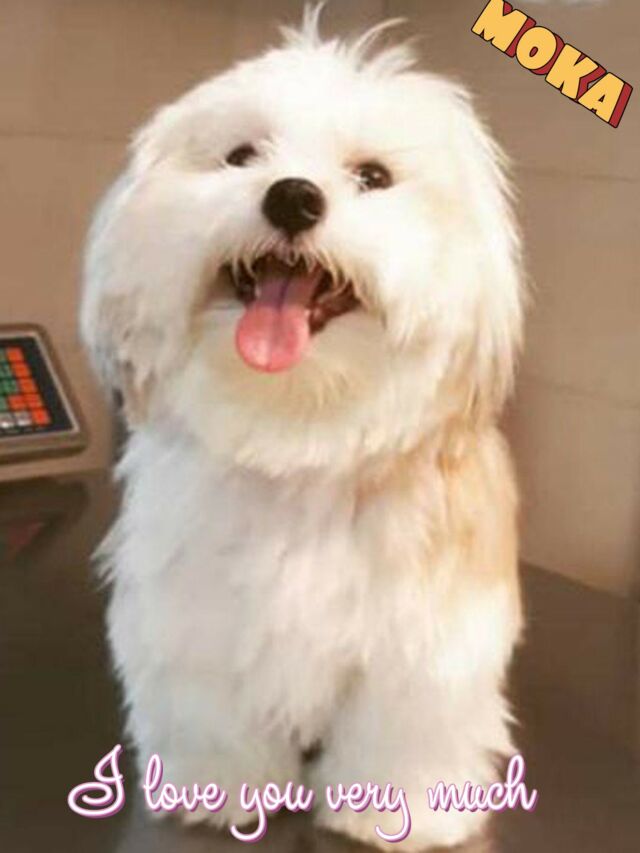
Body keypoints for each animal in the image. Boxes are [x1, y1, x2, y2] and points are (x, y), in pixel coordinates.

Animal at [81, 7, 524, 850]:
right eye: (241, 155)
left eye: (374, 176)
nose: (292, 197)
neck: (302, 434)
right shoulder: (198, 619)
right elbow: (213, 713)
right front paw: (216, 787)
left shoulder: (423, 643)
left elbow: (400, 732)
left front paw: (398, 808)